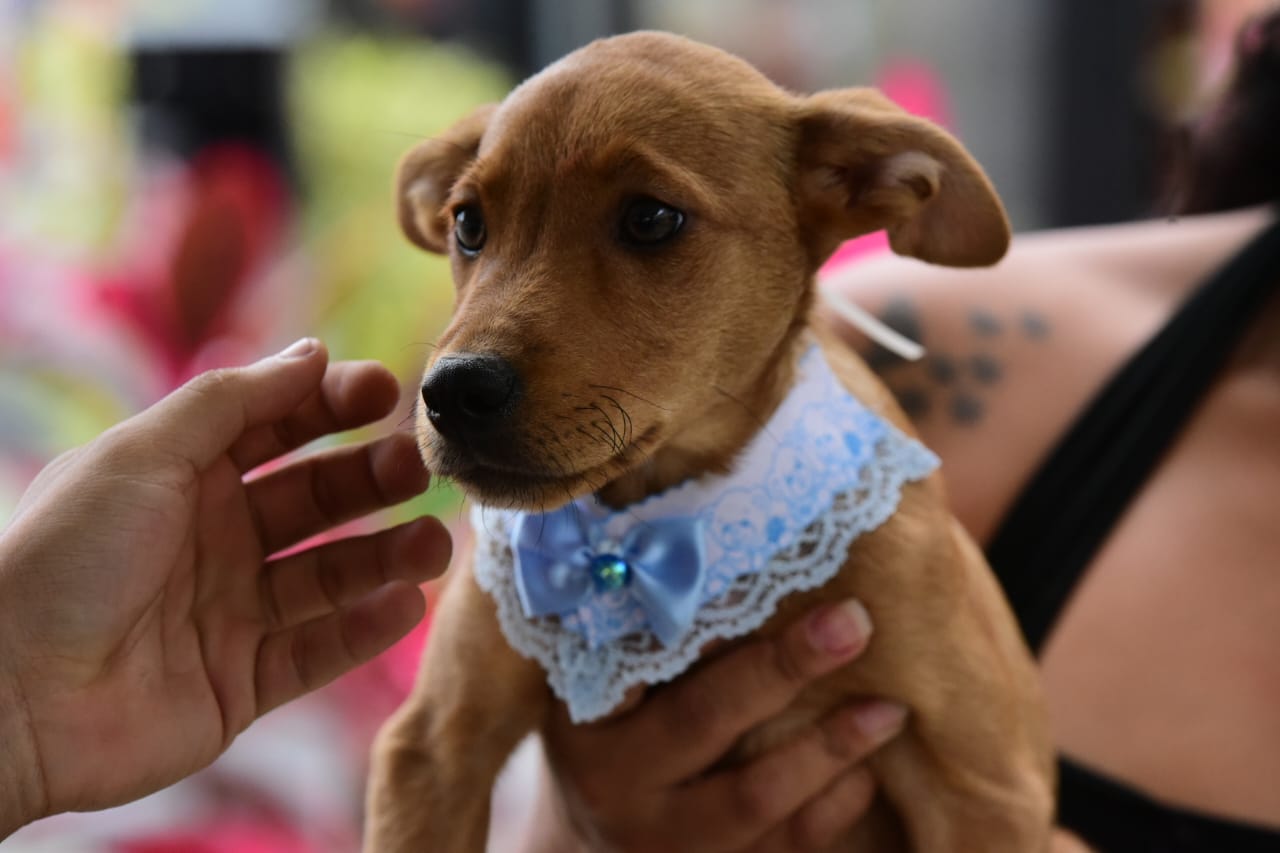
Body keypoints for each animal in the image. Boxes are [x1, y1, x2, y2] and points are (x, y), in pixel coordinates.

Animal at [366, 31, 1054, 850]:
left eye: (650, 218)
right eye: (468, 224)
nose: (453, 394)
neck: (654, 517)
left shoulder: (983, 786)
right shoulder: (434, 747)